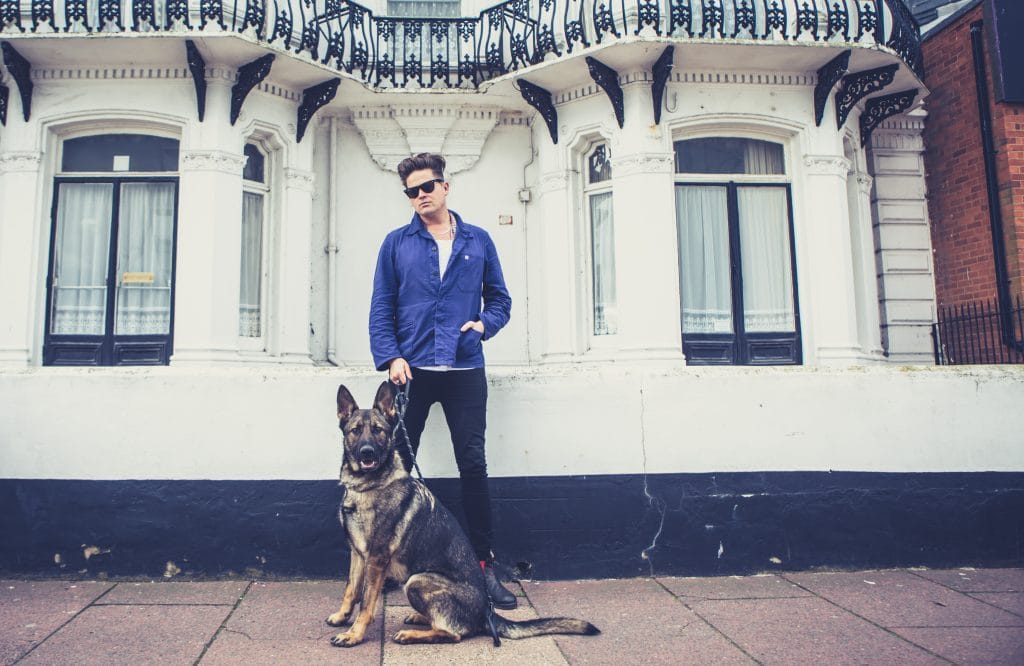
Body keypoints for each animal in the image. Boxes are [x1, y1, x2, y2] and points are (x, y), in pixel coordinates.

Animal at [325, 381, 598, 647]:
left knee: (453, 633)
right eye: (355, 430)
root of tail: (487, 613)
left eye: (378, 430)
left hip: (417, 580)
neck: (367, 485)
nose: (367, 452)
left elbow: (366, 603)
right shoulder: (358, 554)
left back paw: (412, 634)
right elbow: (351, 590)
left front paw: (354, 634)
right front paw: (342, 617)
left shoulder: (376, 558)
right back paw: (419, 617)